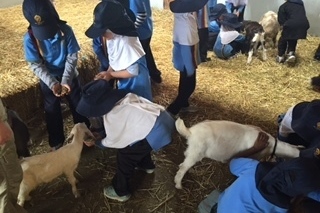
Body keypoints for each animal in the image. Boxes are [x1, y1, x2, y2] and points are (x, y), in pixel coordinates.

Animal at [174, 117, 302, 189]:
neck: (270, 144)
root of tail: (191, 131)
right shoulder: (254, 155)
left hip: (192, 150)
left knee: (184, 162)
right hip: (197, 151)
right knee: (184, 167)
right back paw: (178, 184)